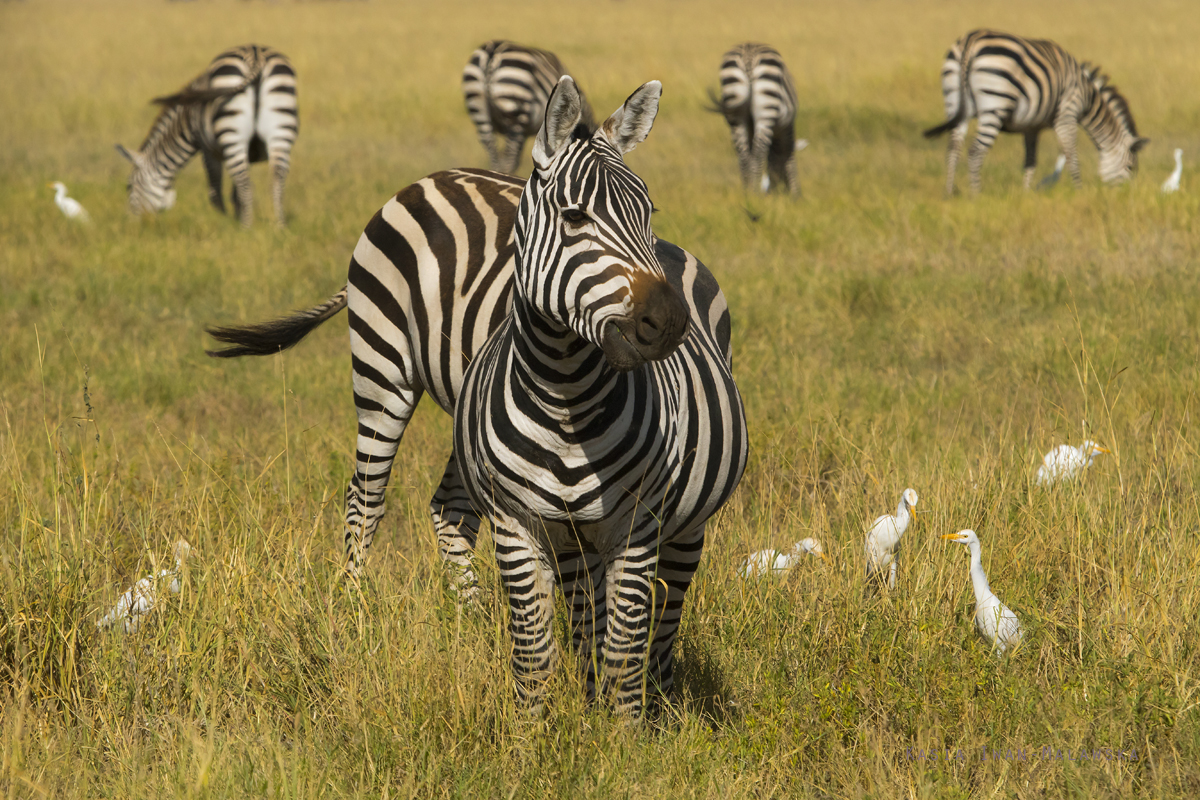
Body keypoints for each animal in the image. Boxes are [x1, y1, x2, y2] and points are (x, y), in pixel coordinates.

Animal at [115, 44, 298, 225]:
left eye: (128, 186)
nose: (132, 223)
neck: (186, 121)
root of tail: (255, 55)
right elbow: (235, 194)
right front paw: (237, 218)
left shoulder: (207, 150)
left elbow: (215, 191)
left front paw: (225, 223)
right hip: (280, 131)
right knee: (277, 180)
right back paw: (279, 226)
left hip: (231, 133)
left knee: (245, 184)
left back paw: (247, 228)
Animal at [451, 77, 744, 719]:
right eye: (575, 216)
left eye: (646, 211)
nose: (669, 322)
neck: (565, 396)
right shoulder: (515, 525)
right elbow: (536, 655)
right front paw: (533, 734)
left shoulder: (637, 525)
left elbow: (626, 654)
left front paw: (624, 735)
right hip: (573, 541)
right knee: (588, 620)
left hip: (683, 528)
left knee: (662, 624)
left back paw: (657, 701)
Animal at [705, 43, 801, 195]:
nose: (778, 190)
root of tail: (748, 57)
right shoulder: (787, 130)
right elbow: (787, 159)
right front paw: (794, 192)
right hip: (766, 110)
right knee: (758, 153)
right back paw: (755, 193)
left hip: (735, 113)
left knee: (743, 154)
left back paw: (747, 192)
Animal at [921, 30, 1147, 196]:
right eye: (1130, 167)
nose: (1124, 195)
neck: (1087, 97)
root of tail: (970, 41)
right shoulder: (1067, 114)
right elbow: (1071, 154)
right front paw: (1078, 191)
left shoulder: (1031, 127)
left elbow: (1031, 161)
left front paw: (1027, 193)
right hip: (994, 104)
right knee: (975, 152)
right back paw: (977, 196)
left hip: (954, 102)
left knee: (953, 149)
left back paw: (949, 193)